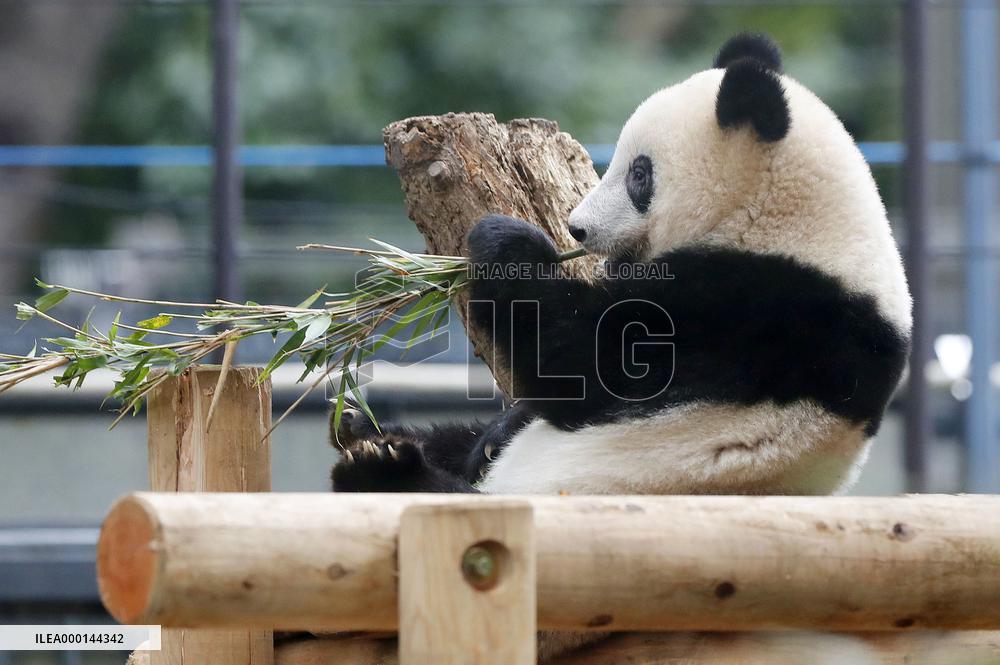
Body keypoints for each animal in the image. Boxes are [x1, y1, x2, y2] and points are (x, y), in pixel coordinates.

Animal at [331, 33, 912, 501]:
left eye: (639, 174)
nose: (577, 230)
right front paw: (494, 433)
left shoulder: (756, 307)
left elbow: (589, 364)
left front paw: (504, 244)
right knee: (454, 440)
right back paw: (366, 431)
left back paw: (383, 467)